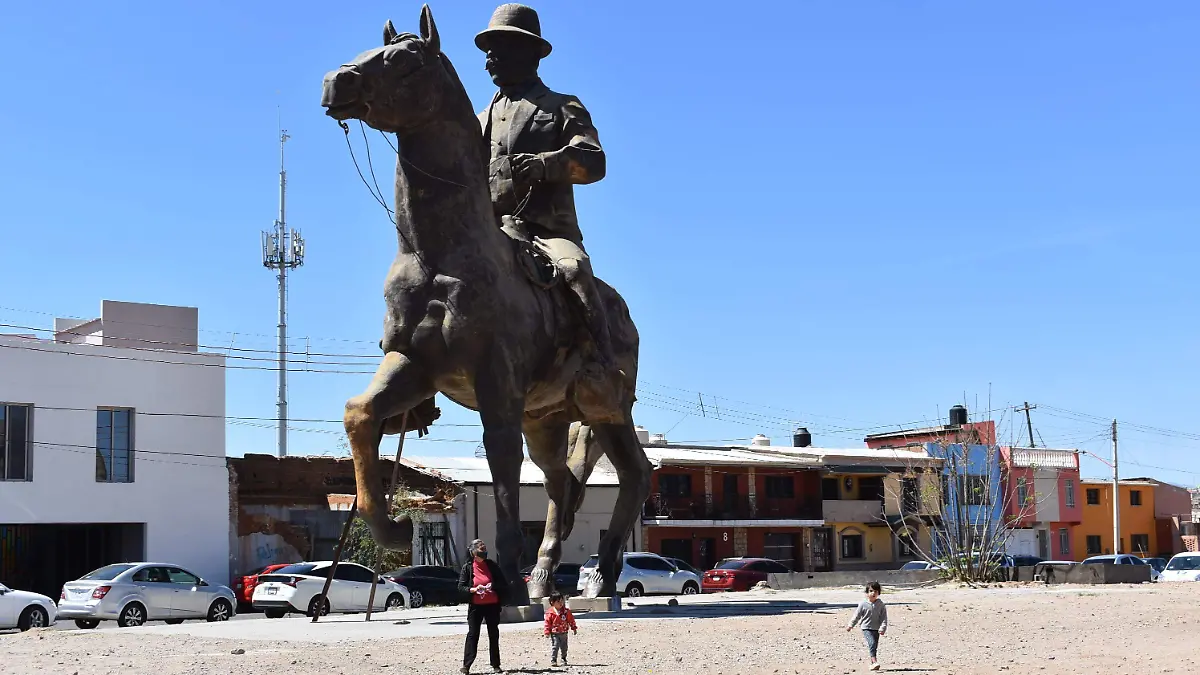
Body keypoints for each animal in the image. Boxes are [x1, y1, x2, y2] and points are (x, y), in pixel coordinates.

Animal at [324, 5, 652, 600]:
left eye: (406, 60)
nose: (337, 82)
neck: (440, 255)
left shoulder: (497, 381)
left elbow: (501, 465)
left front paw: (506, 582)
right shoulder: (414, 364)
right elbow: (360, 413)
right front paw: (393, 527)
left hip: (607, 405)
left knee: (634, 474)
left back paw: (599, 575)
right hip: (546, 416)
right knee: (561, 481)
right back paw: (546, 574)